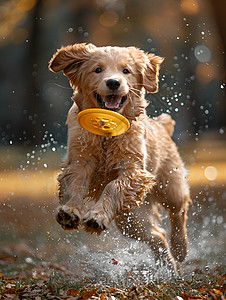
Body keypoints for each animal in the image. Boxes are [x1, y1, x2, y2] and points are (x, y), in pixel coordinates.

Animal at [48, 43, 192, 274]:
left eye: (126, 71)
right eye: (97, 70)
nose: (113, 82)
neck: (106, 137)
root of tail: (163, 126)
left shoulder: (133, 171)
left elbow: (112, 187)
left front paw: (97, 216)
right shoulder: (80, 163)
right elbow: (75, 186)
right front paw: (69, 212)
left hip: (169, 186)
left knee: (179, 211)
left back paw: (180, 248)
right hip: (130, 220)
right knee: (157, 236)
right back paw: (168, 266)